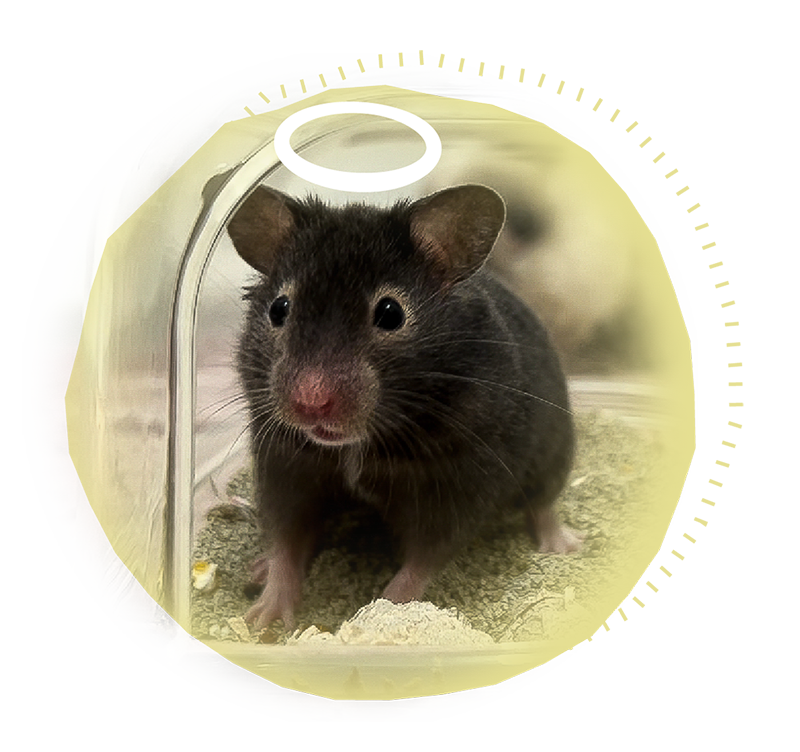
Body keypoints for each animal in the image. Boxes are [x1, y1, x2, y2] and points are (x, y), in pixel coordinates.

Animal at [227, 184, 581, 631]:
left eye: (390, 313)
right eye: (279, 308)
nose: (310, 402)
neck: (355, 446)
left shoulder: (456, 483)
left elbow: (423, 560)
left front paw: (376, 615)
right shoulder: (287, 466)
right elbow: (287, 541)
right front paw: (263, 620)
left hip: (553, 456)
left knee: (542, 504)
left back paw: (564, 546)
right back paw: (256, 570)